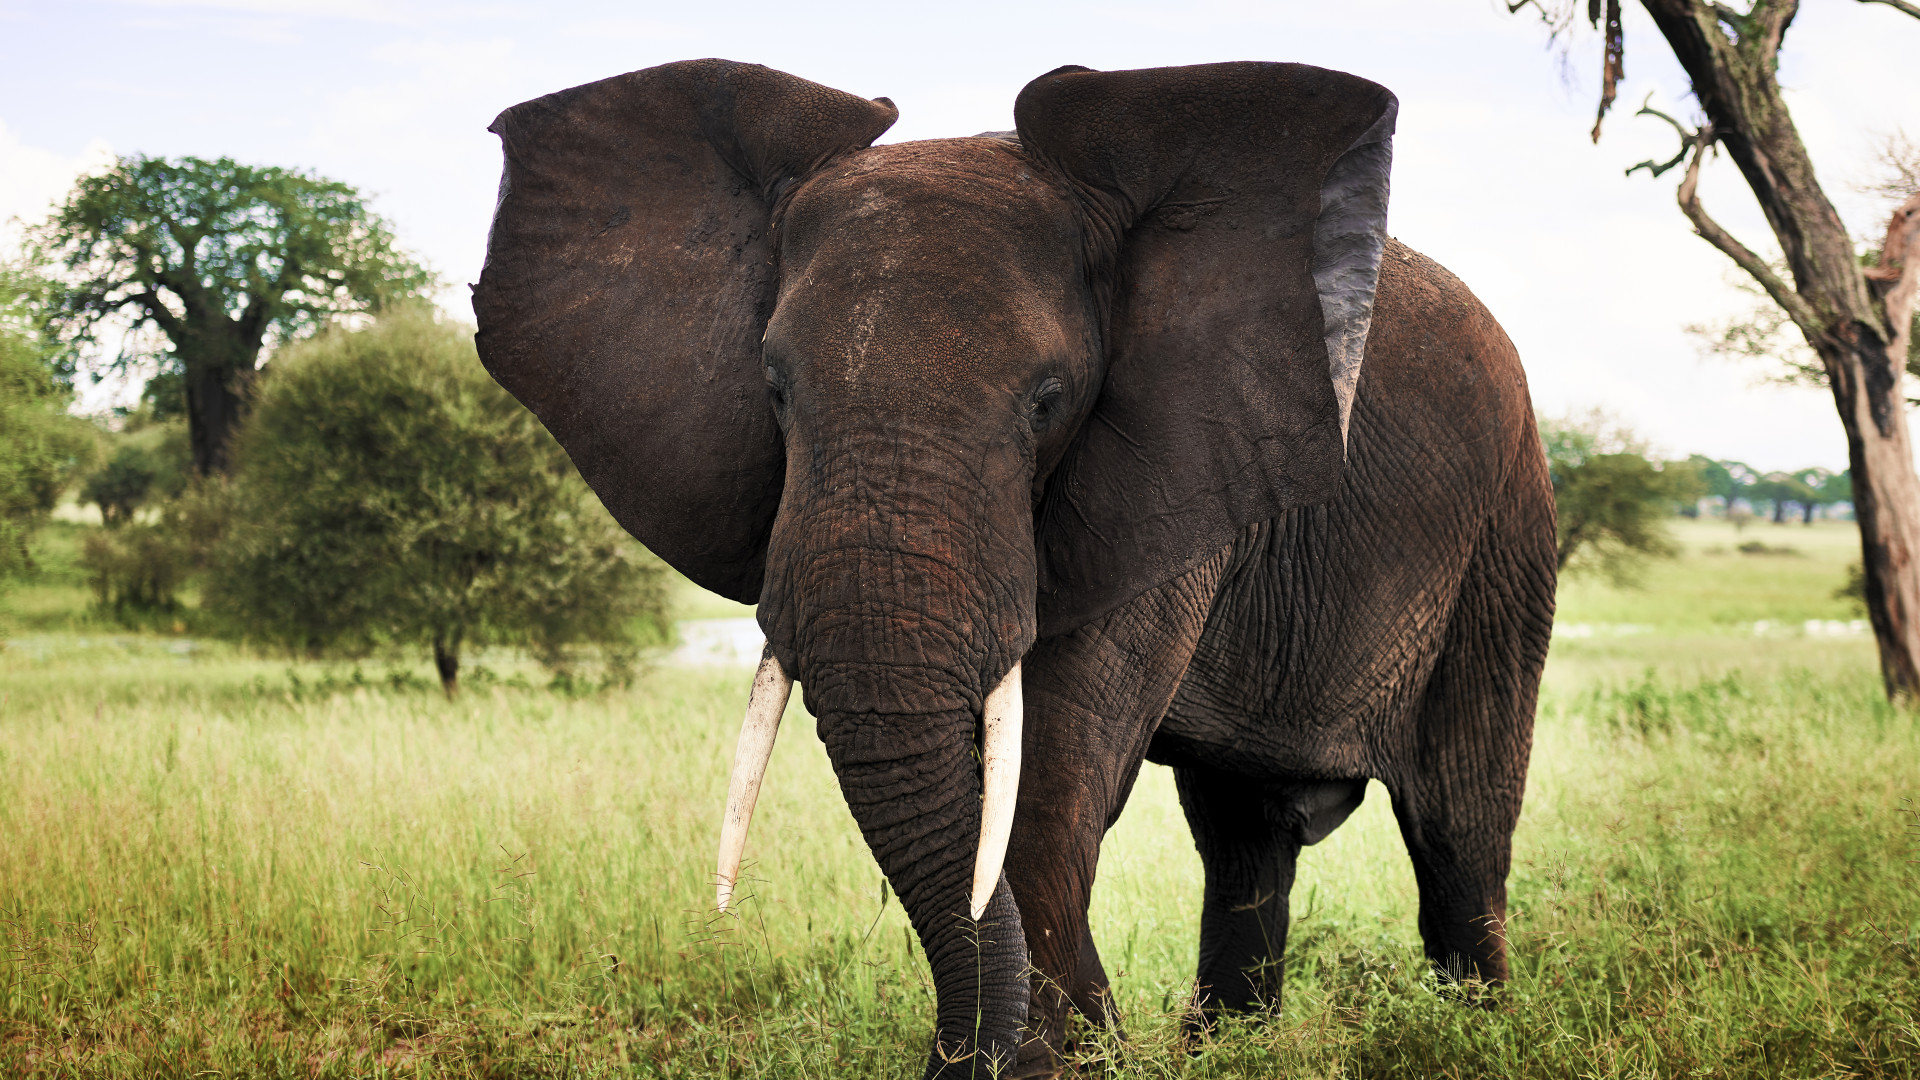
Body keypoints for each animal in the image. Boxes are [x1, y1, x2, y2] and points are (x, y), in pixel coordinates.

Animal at [472, 61, 1551, 1076]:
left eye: (1048, 399)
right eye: (774, 388)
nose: (957, 1059)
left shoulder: (1179, 455)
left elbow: (1049, 777)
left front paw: (1058, 1063)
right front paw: (1073, 1056)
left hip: (1505, 527)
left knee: (1458, 825)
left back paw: (1480, 1033)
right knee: (1244, 838)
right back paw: (1228, 1047)